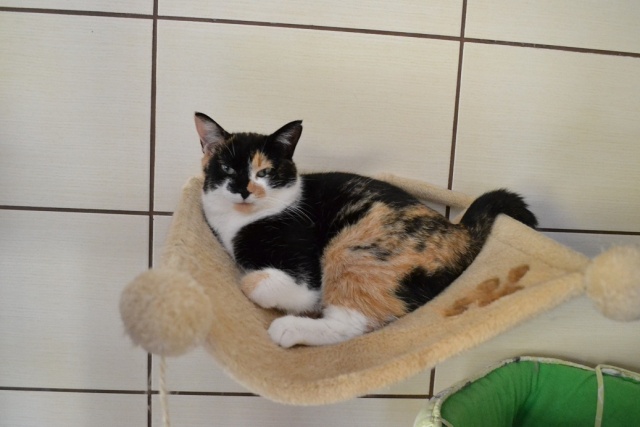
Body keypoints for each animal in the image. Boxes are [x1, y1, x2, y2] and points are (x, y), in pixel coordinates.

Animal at [195, 112, 538, 348]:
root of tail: (459, 232)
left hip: (353, 249)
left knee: (351, 323)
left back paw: (289, 329)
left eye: (265, 172)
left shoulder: (303, 269)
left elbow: (261, 285)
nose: (244, 189)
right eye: (226, 168)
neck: (239, 222)